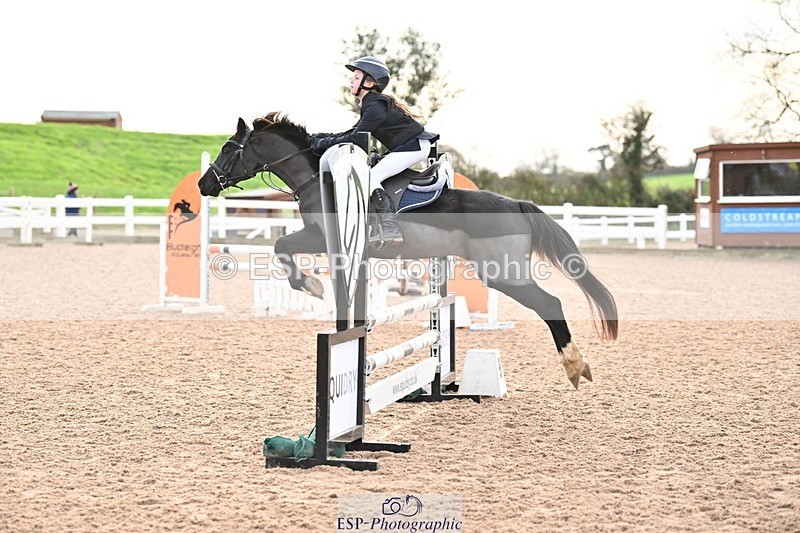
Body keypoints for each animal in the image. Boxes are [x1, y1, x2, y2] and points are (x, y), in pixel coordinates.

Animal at [197, 113, 618, 389]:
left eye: (228, 148)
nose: (204, 184)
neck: (319, 178)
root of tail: (516, 204)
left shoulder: (321, 237)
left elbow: (281, 245)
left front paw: (311, 286)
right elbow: (282, 246)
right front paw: (313, 286)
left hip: (503, 274)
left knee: (550, 304)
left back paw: (575, 366)